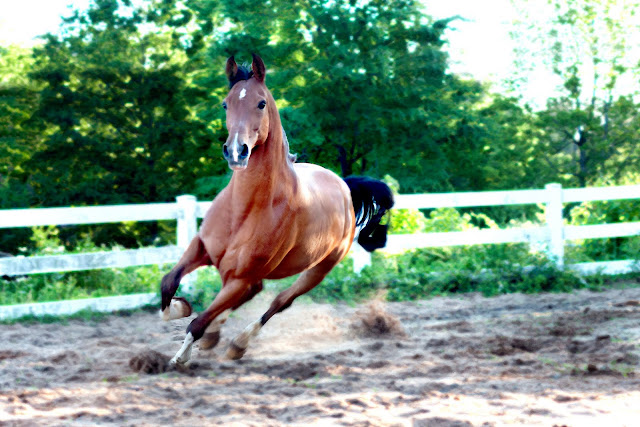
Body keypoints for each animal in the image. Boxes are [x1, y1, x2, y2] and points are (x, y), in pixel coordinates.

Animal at [160, 54, 394, 365]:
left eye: (261, 103)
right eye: (225, 103)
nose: (236, 151)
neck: (245, 209)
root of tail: (344, 187)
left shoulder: (240, 277)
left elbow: (196, 323)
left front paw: (180, 357)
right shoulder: (202, 248)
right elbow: (168, 283)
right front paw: (179, 307)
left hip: (319, 270)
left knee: (280, 301)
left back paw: (238, 343)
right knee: (253, 294)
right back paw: (215, 336)